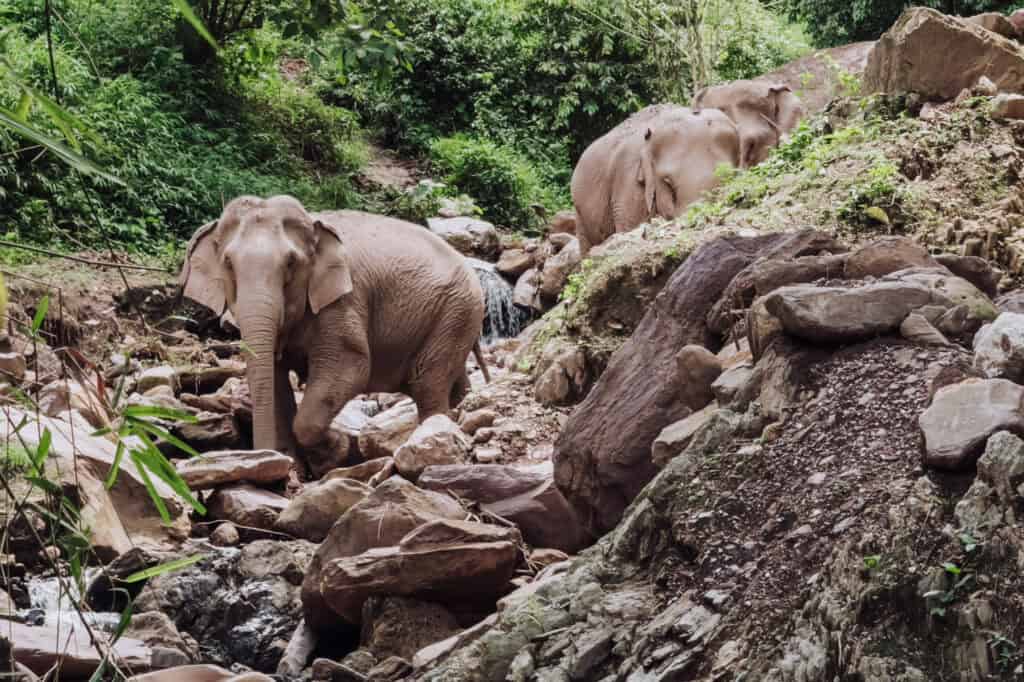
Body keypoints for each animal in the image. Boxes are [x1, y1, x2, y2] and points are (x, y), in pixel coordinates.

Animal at [180, 195, 489, 475]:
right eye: (228, 263)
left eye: (290, 263)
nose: (269, 458)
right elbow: (274, 379)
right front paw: (296, 465)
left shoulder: (343, 301)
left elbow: (351, 366)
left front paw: (339, 449)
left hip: (457, 311)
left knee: (427, 384)